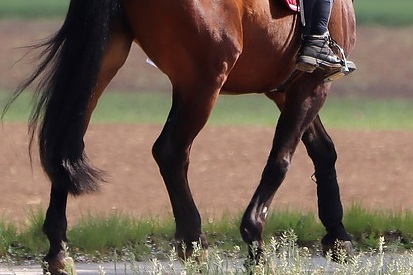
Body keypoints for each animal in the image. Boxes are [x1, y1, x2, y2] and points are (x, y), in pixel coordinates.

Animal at [4, 0, 354, 272]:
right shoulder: (313, 85)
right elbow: (281, 160)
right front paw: (255, 242)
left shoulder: (288, 89)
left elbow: (324, 150)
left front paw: (338, 235)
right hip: (203, 82)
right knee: (170, 151)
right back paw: (193, 242)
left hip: (106, 61)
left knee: (65, 141)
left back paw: (58, 250)